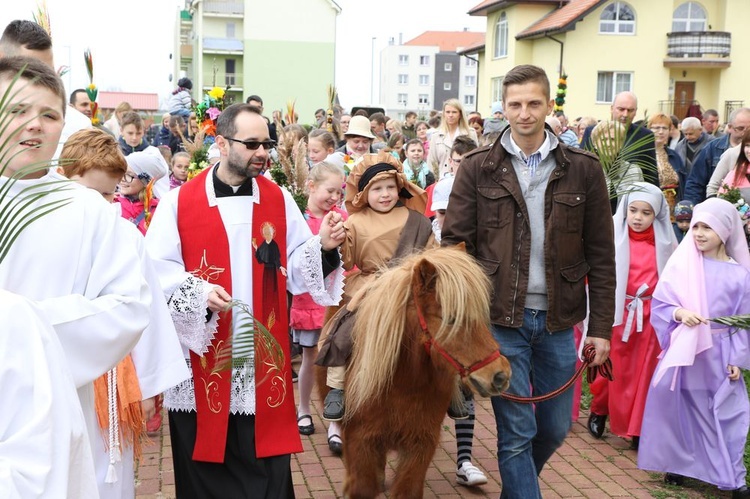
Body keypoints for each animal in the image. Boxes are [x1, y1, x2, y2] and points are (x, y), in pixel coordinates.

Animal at [340, 247, 512, 499]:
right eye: (451, 318)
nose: (501, 375)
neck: (403, 383)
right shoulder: (361, 440)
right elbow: (361, 486)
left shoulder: (421, 444)